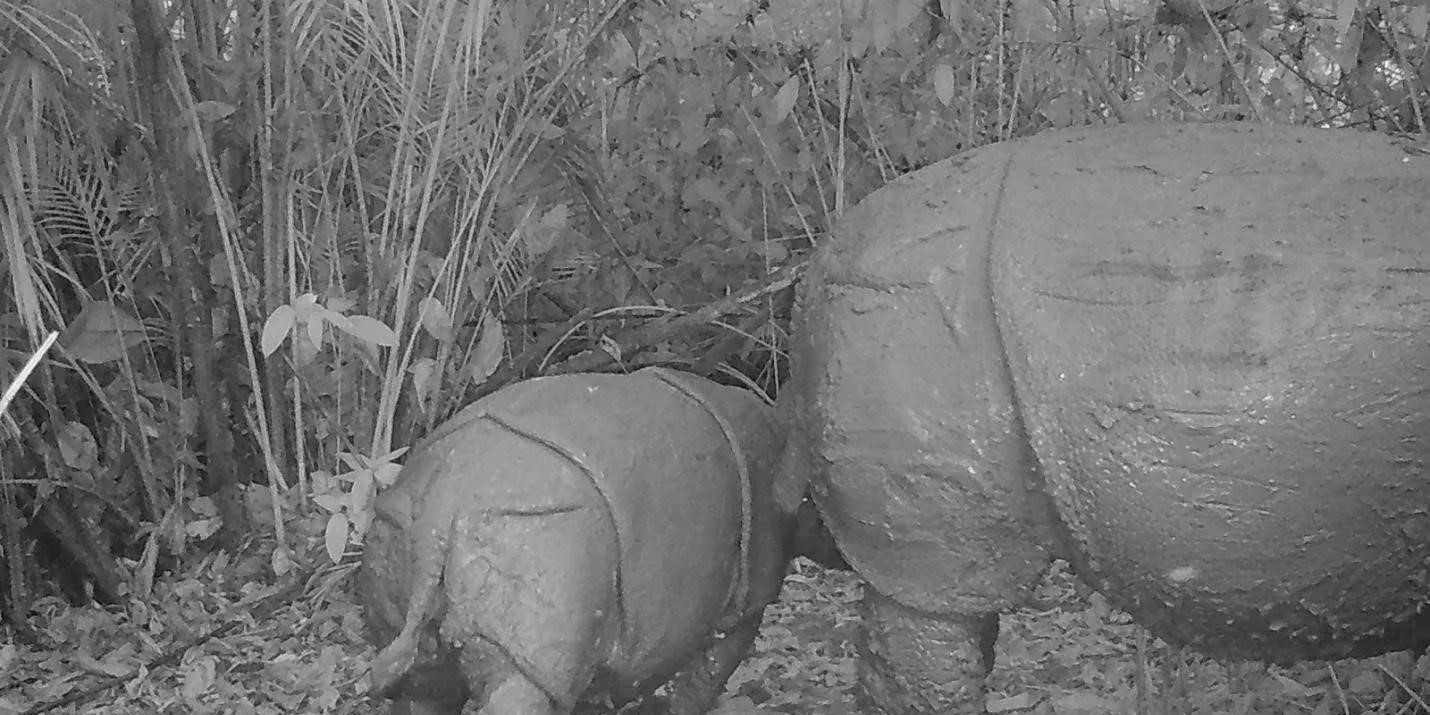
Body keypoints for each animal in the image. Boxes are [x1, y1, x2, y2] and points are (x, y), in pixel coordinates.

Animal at [354, 368, 783, 715]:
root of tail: (444, 501)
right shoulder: (750, 591)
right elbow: (704, 678)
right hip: (544, 548)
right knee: (522, 688)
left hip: (400, 526)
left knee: (421, 685)